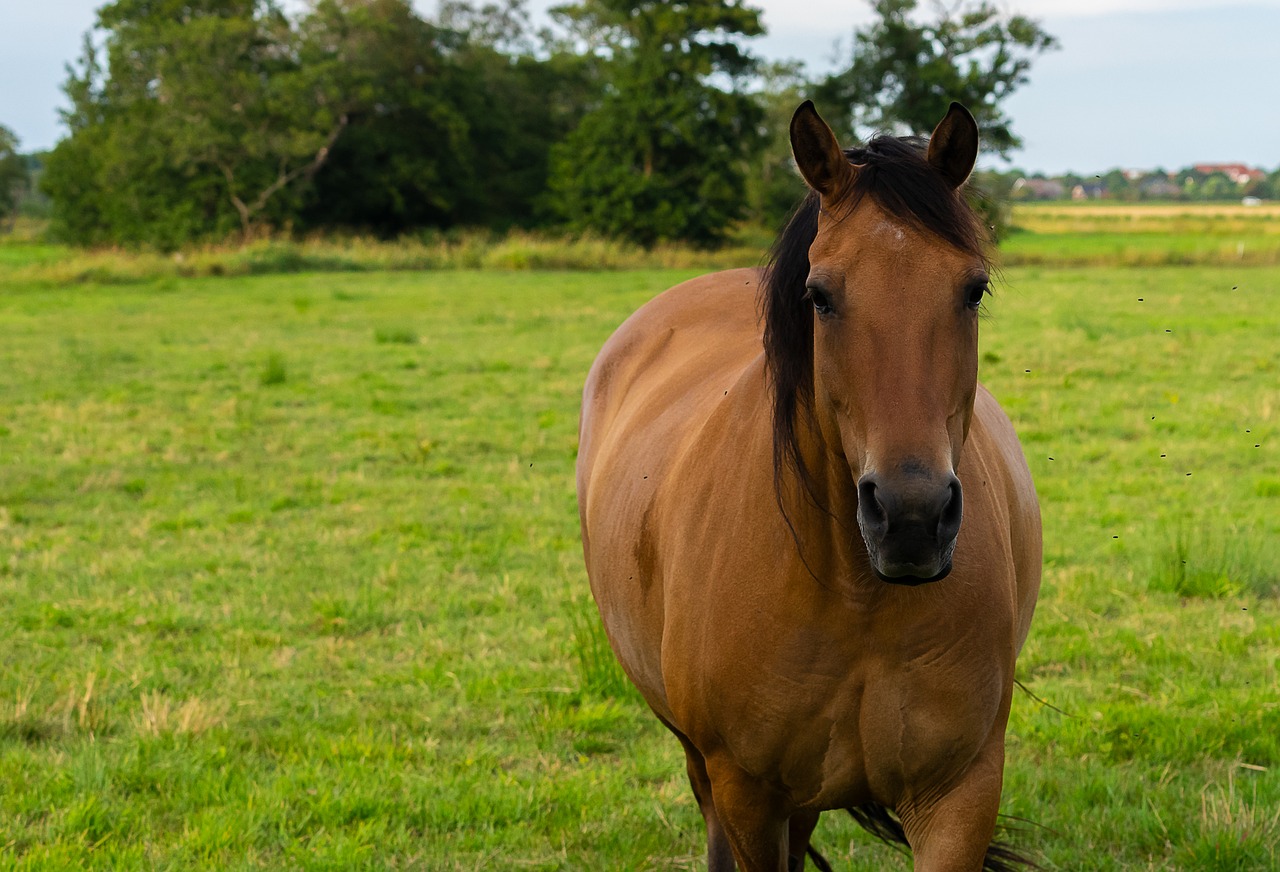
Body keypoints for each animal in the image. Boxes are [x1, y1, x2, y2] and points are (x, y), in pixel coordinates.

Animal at [578, 101, 1039, 870]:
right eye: (820, 296)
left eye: (972, 290)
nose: (911, 518)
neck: (855, 597)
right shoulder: (746, 792)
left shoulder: (960, 793)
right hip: (707, 766)